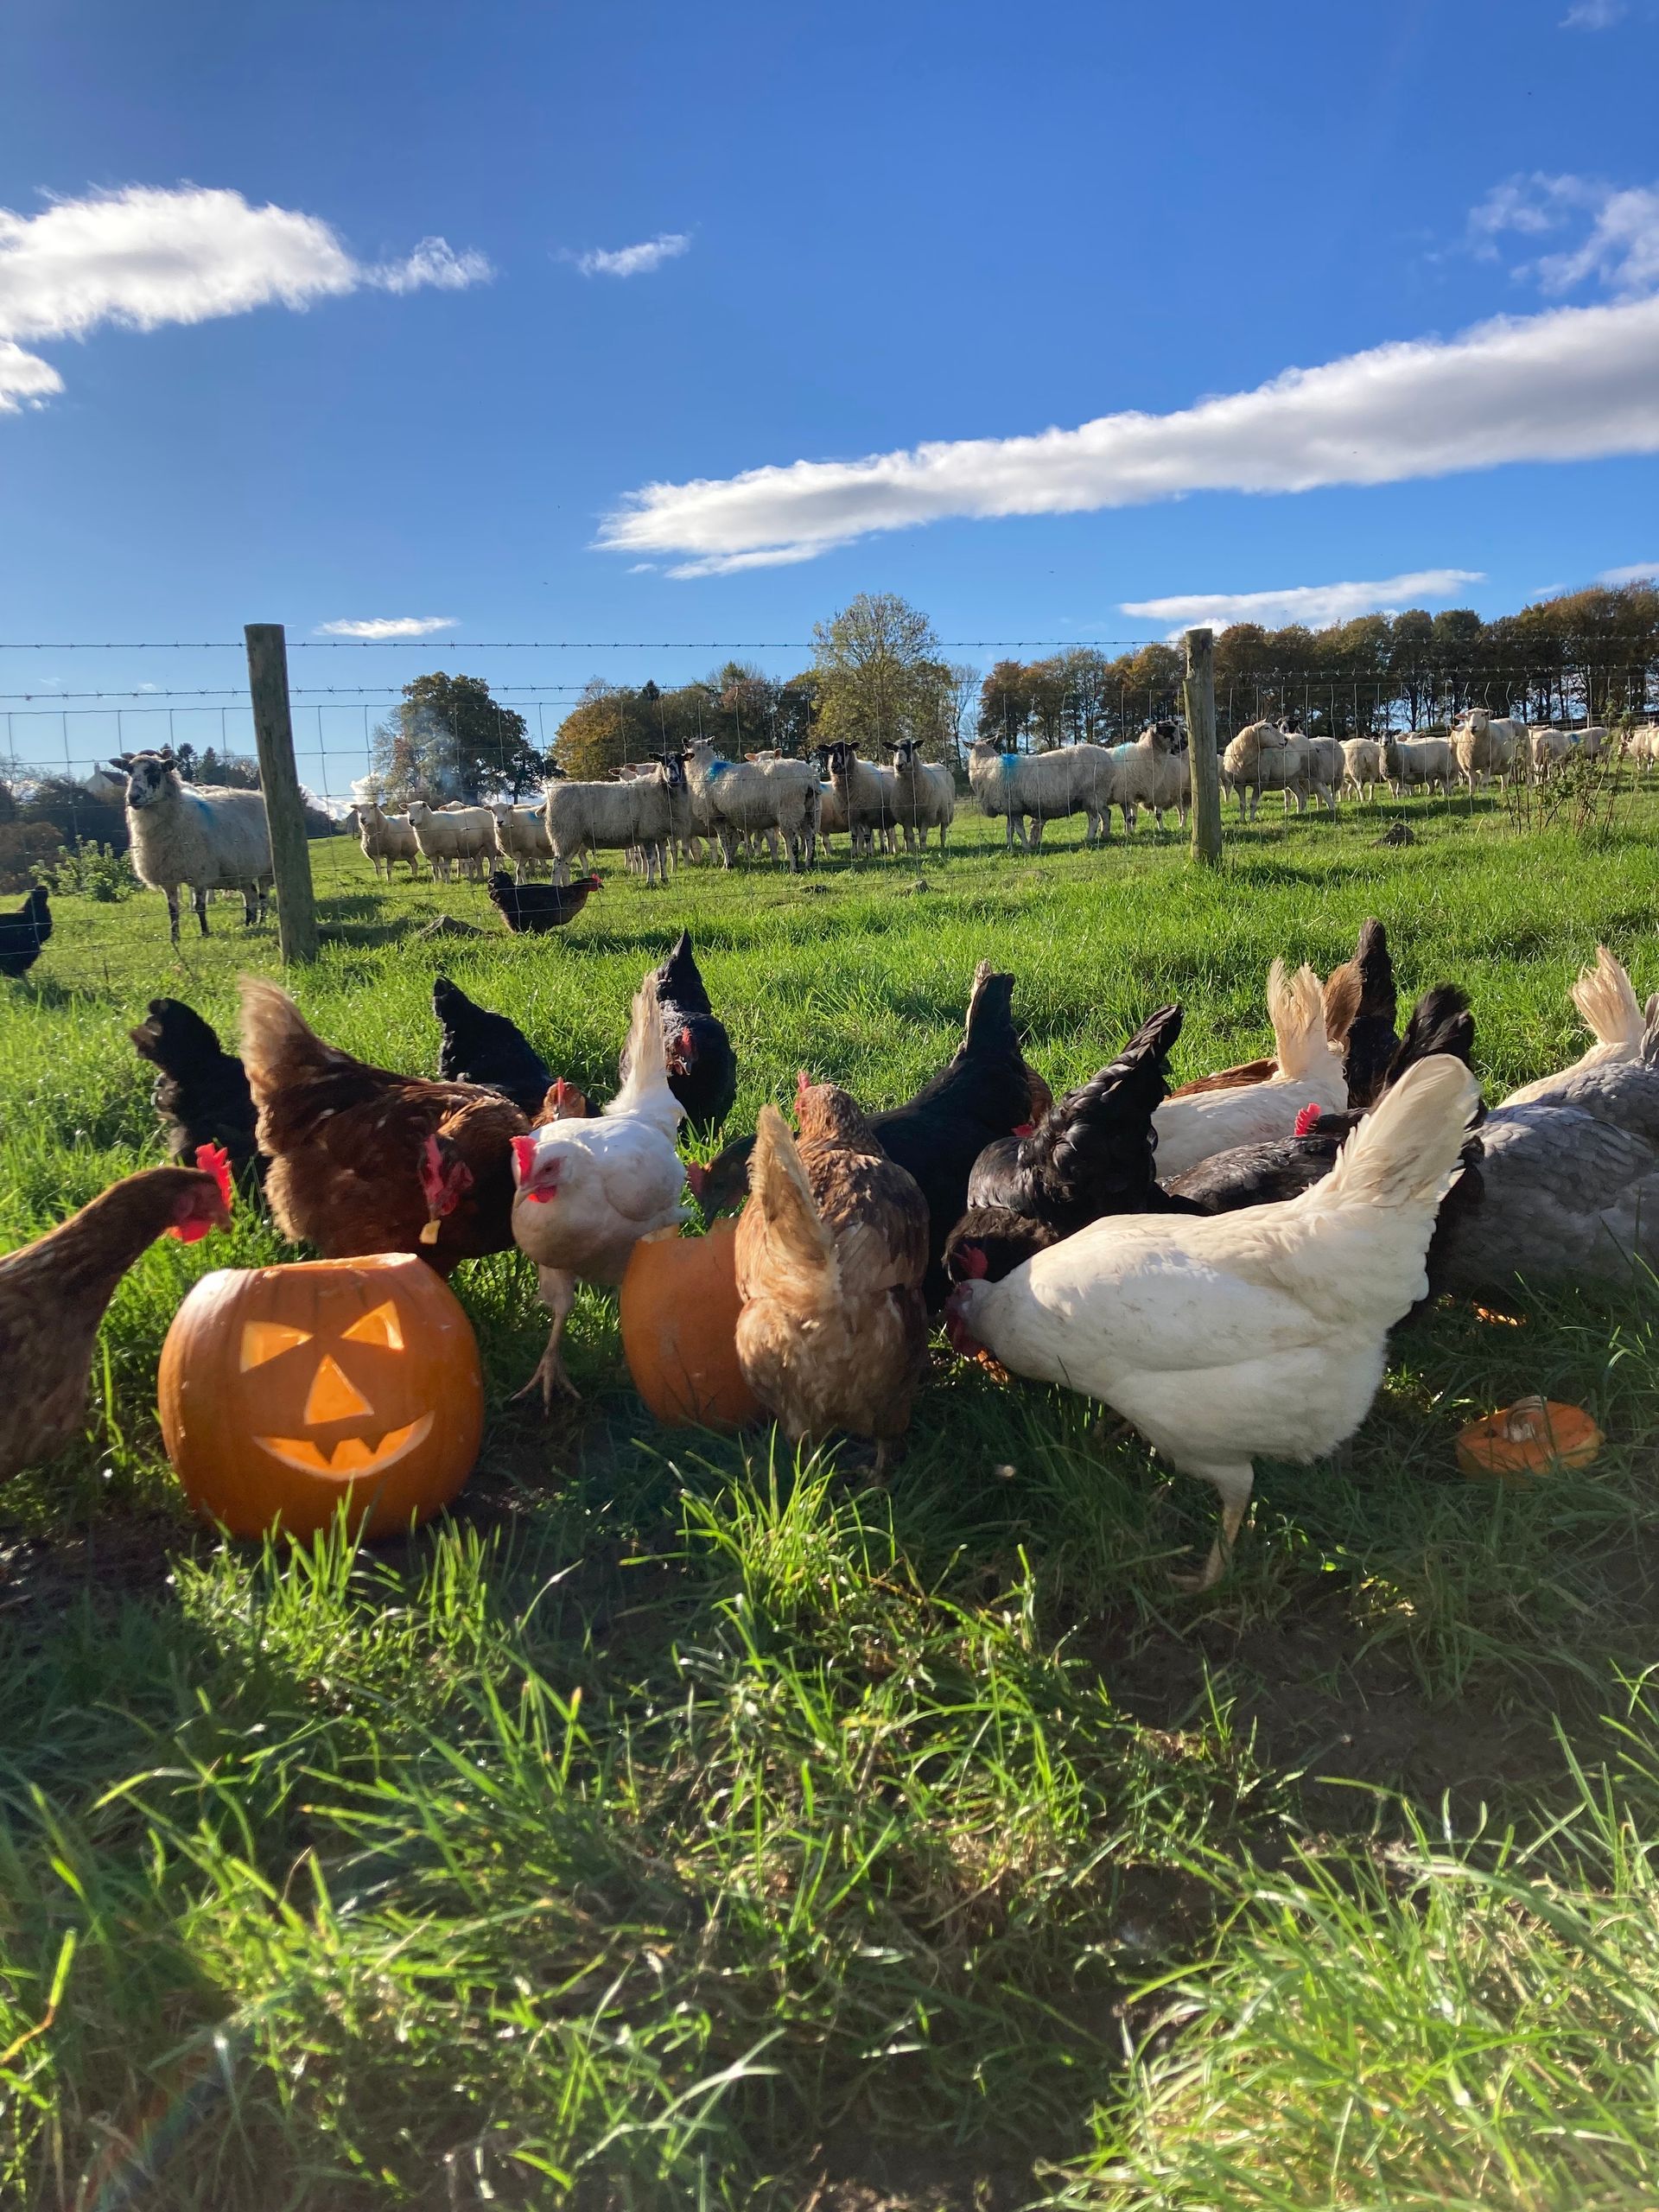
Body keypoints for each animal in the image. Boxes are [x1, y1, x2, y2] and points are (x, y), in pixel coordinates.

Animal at [112, 749, 273, 943]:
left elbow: (200, 907)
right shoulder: (168, 878)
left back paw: (262, 922)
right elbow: (173, 910)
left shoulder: (200, 874)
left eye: (154, 771)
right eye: (129, 771)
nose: (133, 798)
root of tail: (259, 795)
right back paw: (250, 924)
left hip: (267, 869)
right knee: (251, 896)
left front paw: (205, 934)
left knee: (263, 897)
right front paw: (174, 938)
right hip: (240, 872)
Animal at [545, 755, 691, 887]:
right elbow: (652, 860)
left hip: (573, 839)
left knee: (565, 865)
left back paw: (567, 887)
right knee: (557, 865)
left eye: (681, 761)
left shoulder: (660, 834)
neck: (659, 789)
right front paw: (650, 882)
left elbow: (663, 858)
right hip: (564, 836)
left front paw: (665, 880)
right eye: (664, 763)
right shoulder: (648, 833)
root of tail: (553, 793)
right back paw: (556, 889)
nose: (673, 780)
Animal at [681, 741, 819, 871]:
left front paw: (727, 866)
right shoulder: (728, 818)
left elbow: (723, 842)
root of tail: (808, 777)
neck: (703, 767)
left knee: (793, 841)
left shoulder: (716, 816)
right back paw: (809, 864)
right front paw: (729, 864)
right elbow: (730, 842)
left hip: (789, 810)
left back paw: (794, 869)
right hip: (810, 810)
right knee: (811, 837)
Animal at [888, 738, 956, 853]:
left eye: (911, 748)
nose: (899, 765)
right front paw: (912, 851)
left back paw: (942, 846)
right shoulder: (906, 818)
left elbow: (923, 836)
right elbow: (910, 836)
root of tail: (938, 764)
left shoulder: (927, 815)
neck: (912, 794)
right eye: (893, 750)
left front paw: (923, 850)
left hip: (946, 813)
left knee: (942, 832)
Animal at [965, 738, 1115, 850]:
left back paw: (1089, 839)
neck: (985, 765)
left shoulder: (1015, 808)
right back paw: (1105, 835)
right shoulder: (1010, 809)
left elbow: (1019, 831)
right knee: (1105, 813)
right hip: (1095, 797)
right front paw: (1010, 848)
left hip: (1091, 794)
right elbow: (1009, 831)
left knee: (1094, 819)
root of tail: (1106, 755)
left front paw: (1026, 848)